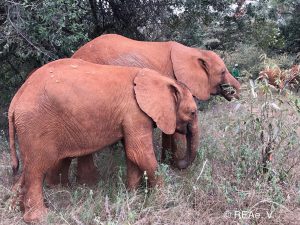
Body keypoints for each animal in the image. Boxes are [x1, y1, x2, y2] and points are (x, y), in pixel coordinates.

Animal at [9, 58, 197, 223]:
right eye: (193, 112)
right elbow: (139, 153)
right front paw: (164, 200)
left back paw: (17, 207)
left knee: (30, 167)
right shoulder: (136, 113)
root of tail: (16, 99)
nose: (177, 163)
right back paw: (40, 217)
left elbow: (132, 155)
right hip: (36, 124)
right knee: (37, 169)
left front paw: (131, 195)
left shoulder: (131, 115)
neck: (159, 78)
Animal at [41, 33, 240, 185]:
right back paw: (89, 183)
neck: (193, 51)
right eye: (223, 72)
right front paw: (173, 166)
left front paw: (167, 162)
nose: (235, 93)